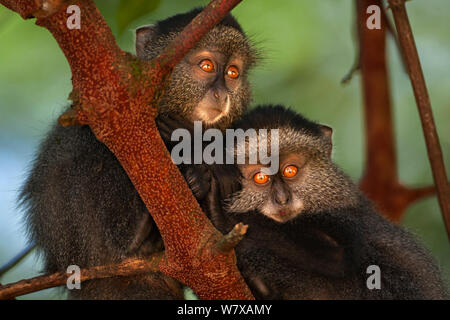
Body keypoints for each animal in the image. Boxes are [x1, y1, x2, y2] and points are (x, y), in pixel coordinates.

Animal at [188, 105, 448, 300]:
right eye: (260, 178)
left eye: (290, 171)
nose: (282, 198)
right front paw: (197, 179)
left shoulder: (341, 214)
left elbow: (339, 255)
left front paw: (221, 213)